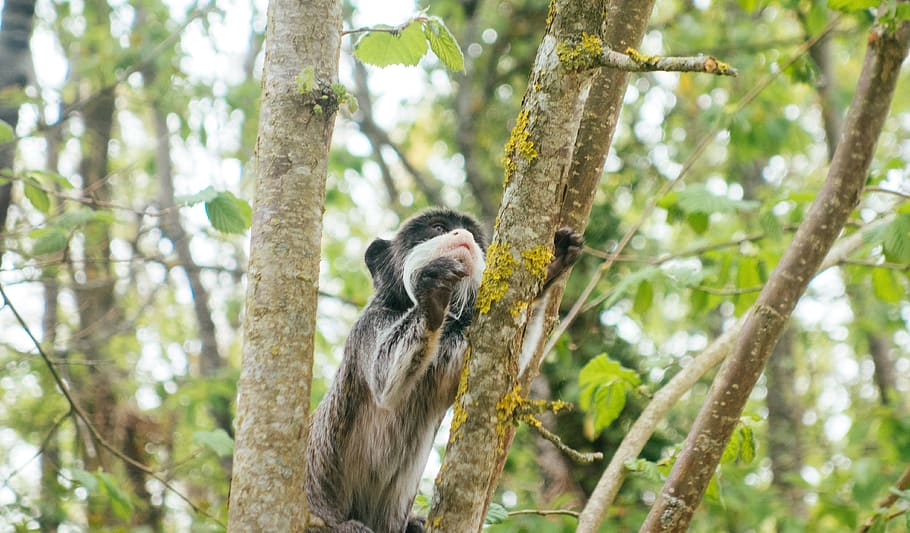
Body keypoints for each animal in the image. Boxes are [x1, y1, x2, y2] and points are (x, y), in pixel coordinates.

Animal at [306, 208, 583, 533]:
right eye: (439, 227)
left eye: (472, 234)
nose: (462, 236)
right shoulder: (368, 325)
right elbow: (383, 378)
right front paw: (433, 292)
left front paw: (551, 267)